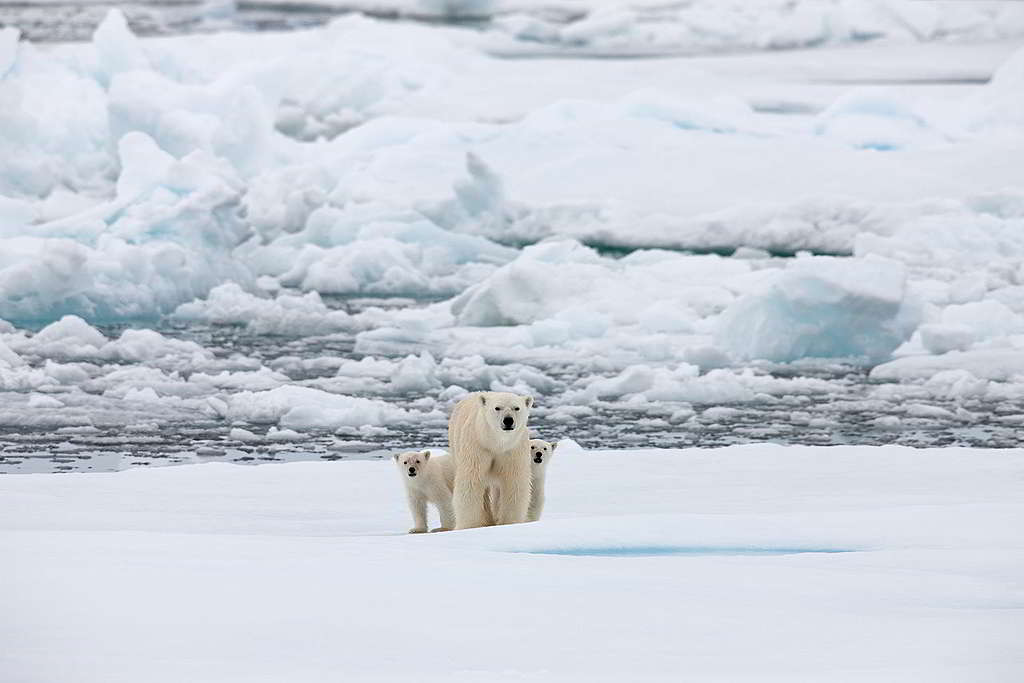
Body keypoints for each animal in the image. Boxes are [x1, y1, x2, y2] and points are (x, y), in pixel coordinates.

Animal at [450, 389, 536, 528]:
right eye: (497, 408)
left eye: (516, 408)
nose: (508, 420)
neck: (496, 443)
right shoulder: (478, 447)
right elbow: (471, 481)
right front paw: (469, 525)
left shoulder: (512, 450)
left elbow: (514, 483)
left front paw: (510, 522)